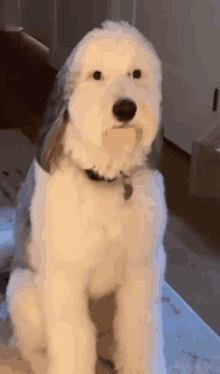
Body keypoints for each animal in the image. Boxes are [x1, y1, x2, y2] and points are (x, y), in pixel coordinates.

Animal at [5, 19, 167, 374]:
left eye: (137, 73)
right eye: (96, 75)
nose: (126, 108)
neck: (107, 179)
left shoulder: (141, 271)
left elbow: (138, 333)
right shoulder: (66, 281)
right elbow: (73, 340)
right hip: (24, 289)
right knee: (29, 348)